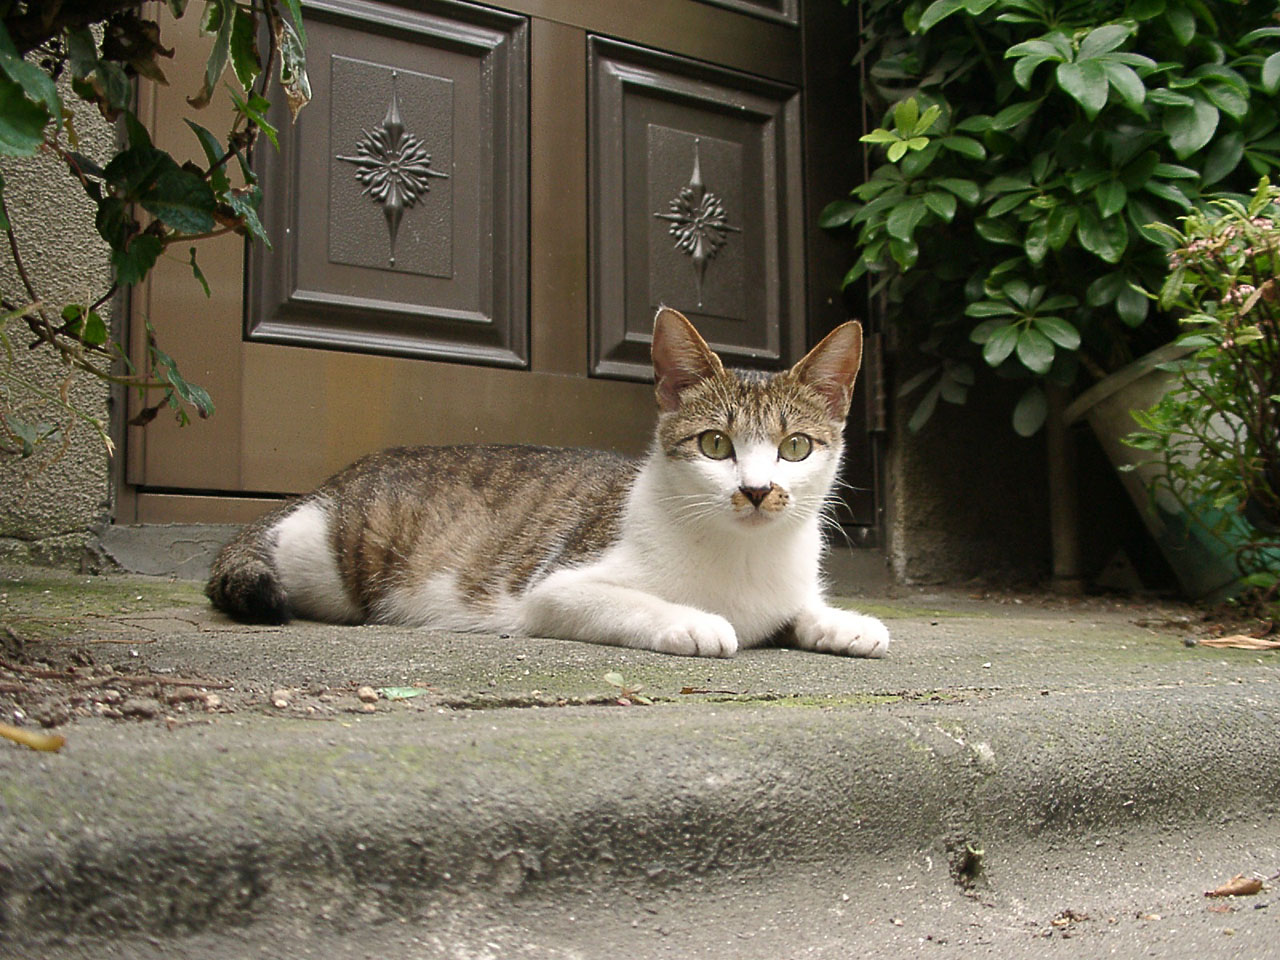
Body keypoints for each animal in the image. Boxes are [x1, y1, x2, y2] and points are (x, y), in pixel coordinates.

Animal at [209, 308, 890, 660]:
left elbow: (799, 609)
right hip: (327, 560)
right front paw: (695, 622)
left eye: (795, 447)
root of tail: (329, 484)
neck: (744, 555)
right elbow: (625, 602)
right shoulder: (554, 590)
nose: (755, 490)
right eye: (715, 444)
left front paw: (843, 622)